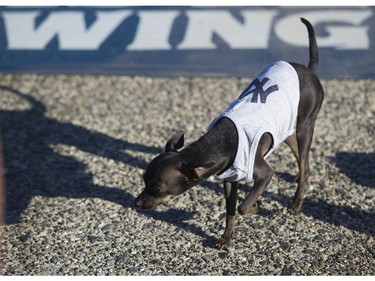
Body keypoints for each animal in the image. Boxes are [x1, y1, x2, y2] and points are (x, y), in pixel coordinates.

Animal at [136, 18, 326, 249]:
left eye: (156, 188)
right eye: (144, 180)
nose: (136, 202)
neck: (220, 142)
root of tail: (309, 70)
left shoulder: (264, 173)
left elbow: (243, 207)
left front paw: (257, 206)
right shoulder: (230, 179)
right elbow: (231, 211)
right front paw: (227, 238)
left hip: (305, 127)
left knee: (305, 163)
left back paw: (297, 201)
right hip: (286, 129)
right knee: (301, 158)